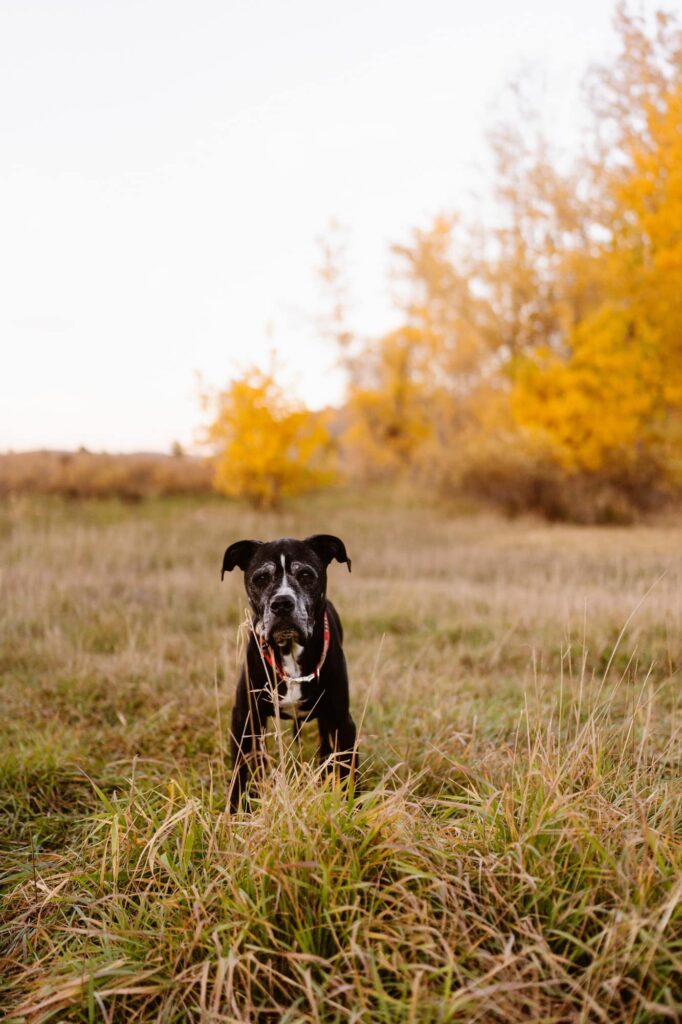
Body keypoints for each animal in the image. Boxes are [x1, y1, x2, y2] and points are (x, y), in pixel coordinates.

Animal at [222, 532, 356, 811]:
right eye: (261, 578)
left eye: (305, 575)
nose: (282, 603)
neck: (290, 651)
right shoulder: (244, 719)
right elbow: (240, 773)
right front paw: (236, 812)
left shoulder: (342, 722)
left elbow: (349, 775)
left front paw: (351, 808)